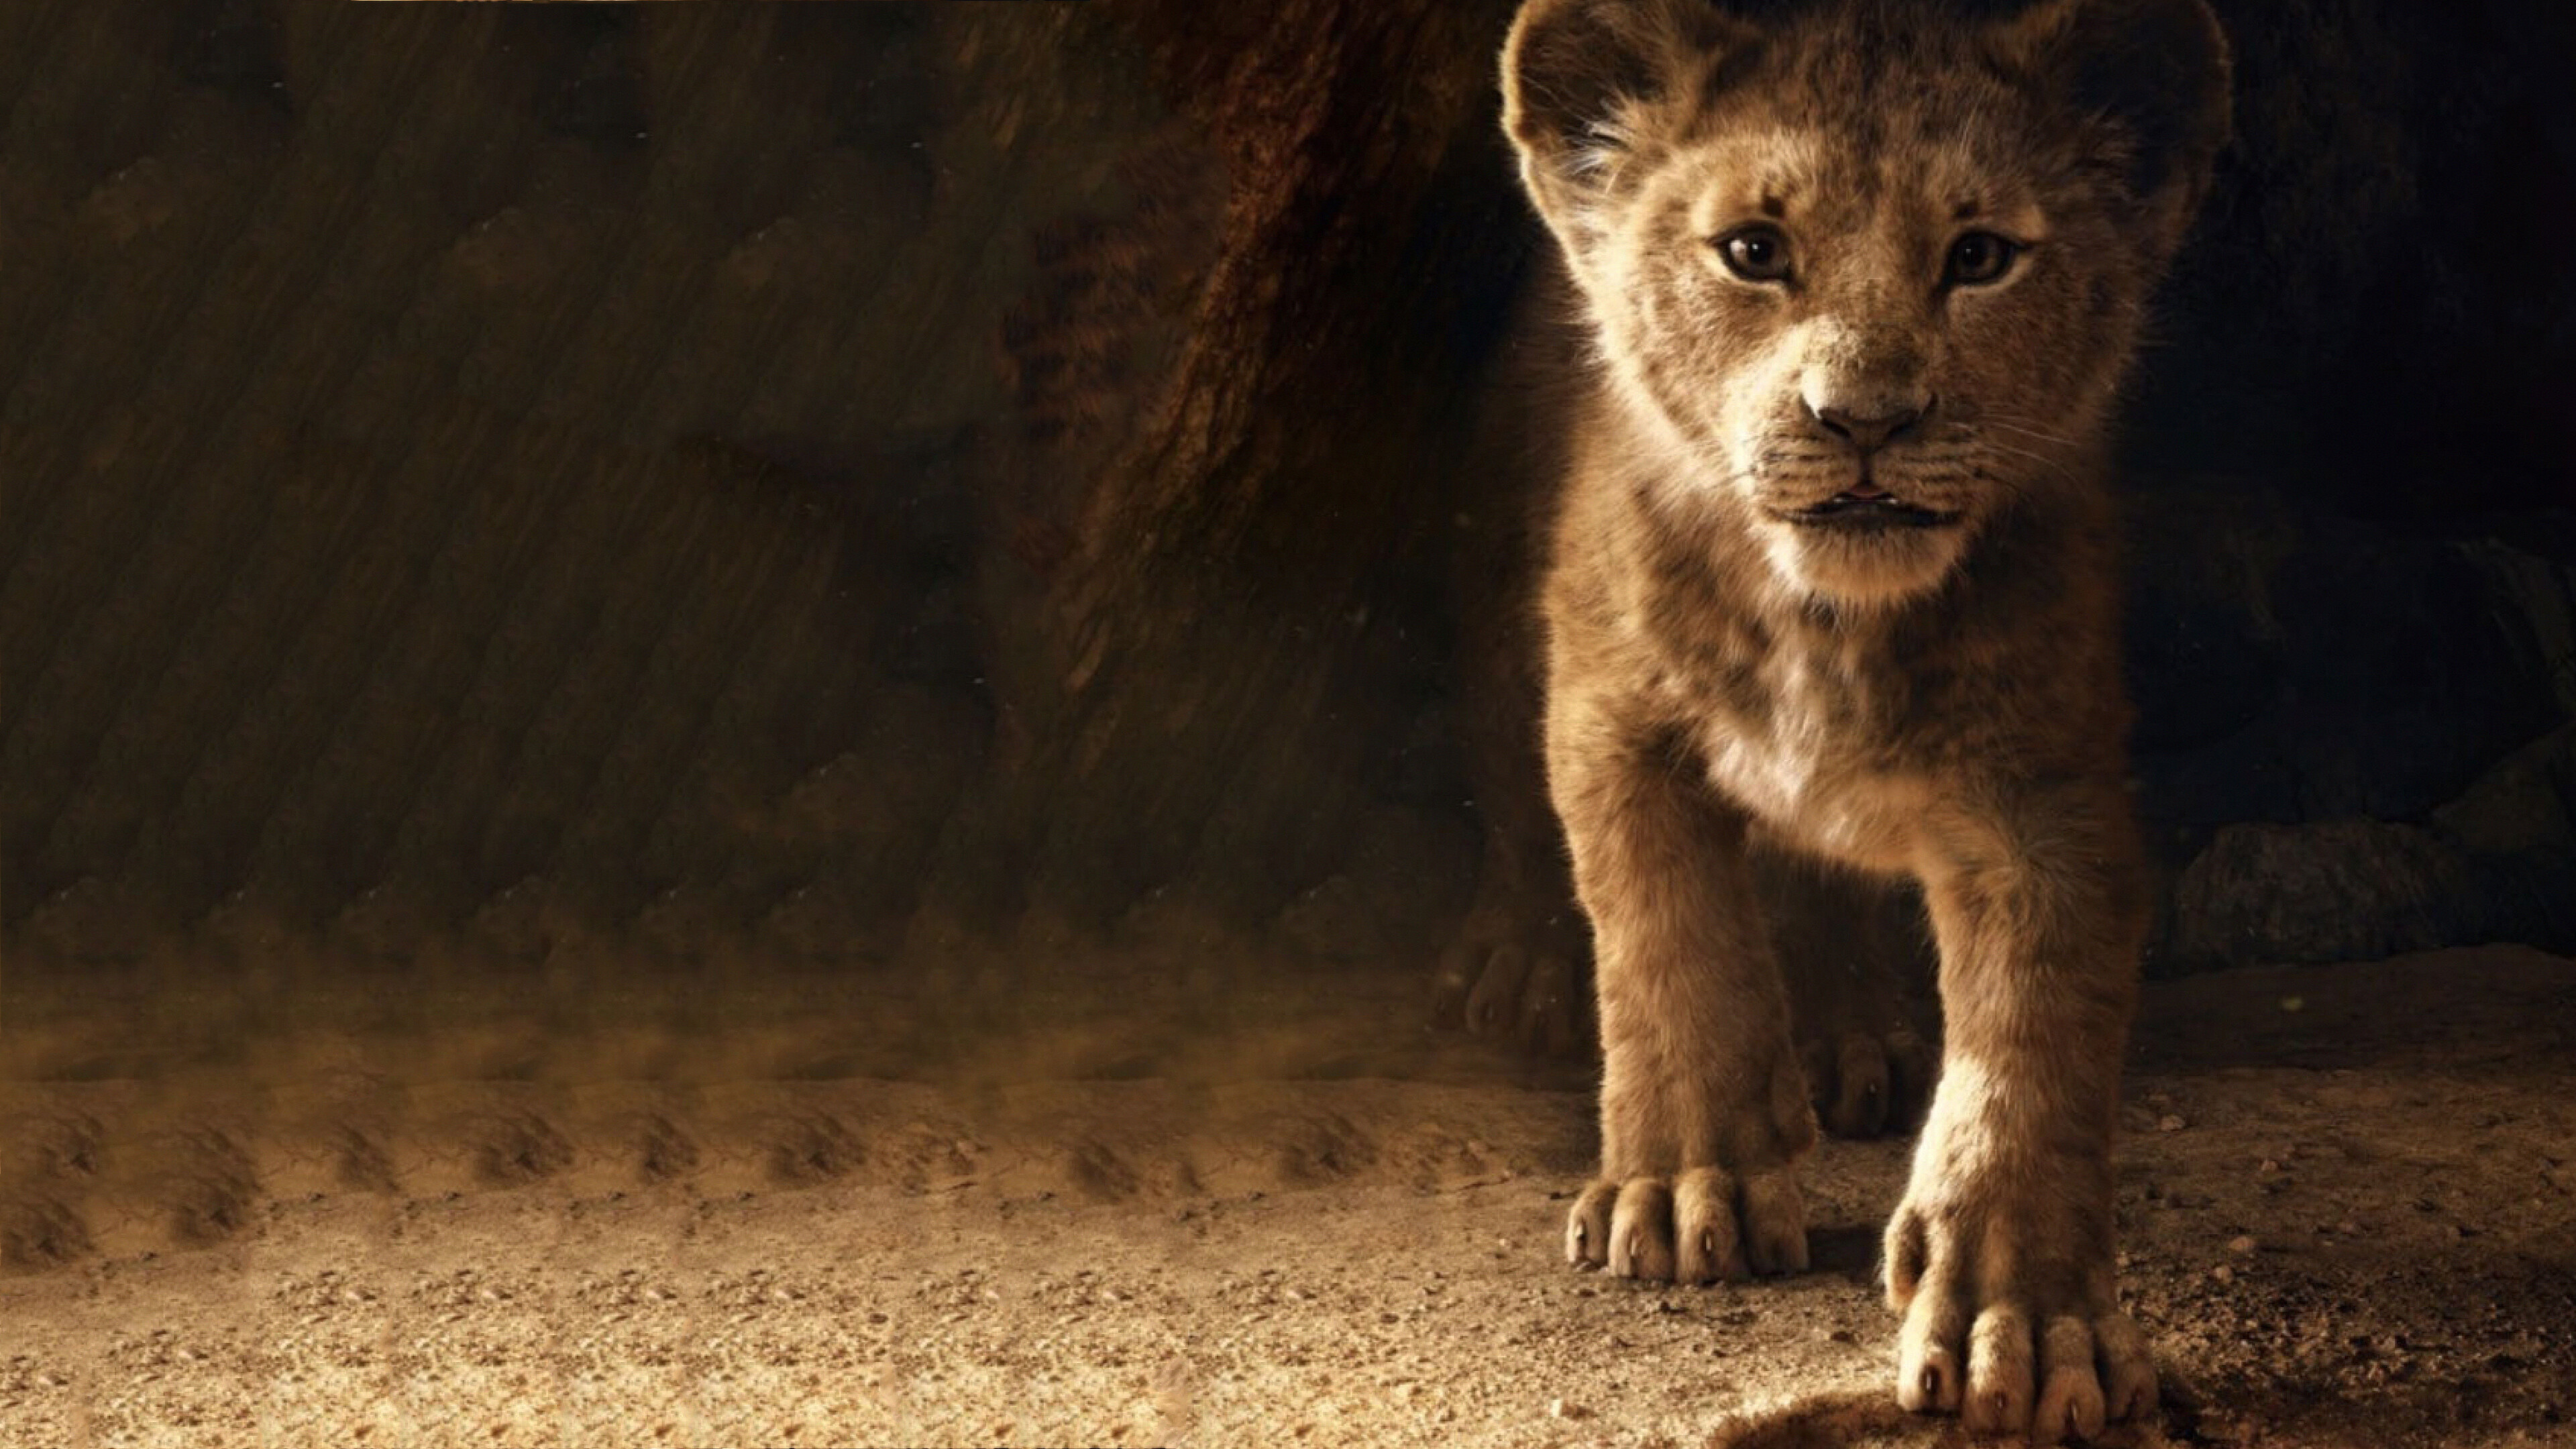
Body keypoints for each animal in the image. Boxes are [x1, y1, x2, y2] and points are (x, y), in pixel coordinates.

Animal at [1476, 0, 2232, 1438]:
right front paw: (1686, 1188)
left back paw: (1851, 1037)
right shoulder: (1607, 711)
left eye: (1980, 256)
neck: (1826, 623)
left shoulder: (2047, 793)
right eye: (1753, 253)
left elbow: (2031, 1047)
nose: (1864, 420)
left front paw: (2022, 1321)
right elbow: (1669, 941)